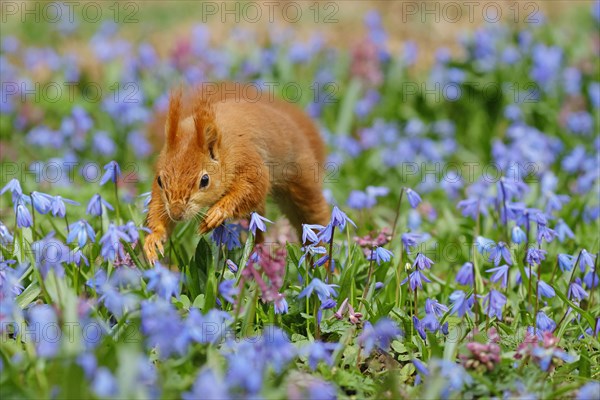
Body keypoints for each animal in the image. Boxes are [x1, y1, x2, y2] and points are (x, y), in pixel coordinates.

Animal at [145, 85, 330, 262]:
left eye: (205, 180)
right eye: (160, 180)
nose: (176, 213)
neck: (224, 147)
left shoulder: (248, 158)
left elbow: (252, 187)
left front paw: (217, 213)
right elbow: (158, 207)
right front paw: (154, 237)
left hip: (300, 178)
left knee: (312, 216)